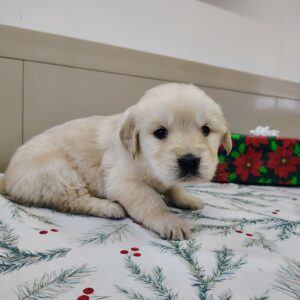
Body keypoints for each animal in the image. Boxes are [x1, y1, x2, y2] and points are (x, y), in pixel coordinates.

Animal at [1, 83, 231, 240]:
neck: (147, 162)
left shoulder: (164, 175)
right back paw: (110, 207)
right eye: (160, 132)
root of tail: (8, 176)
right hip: (57, 171)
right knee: (70, 200)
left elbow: (173, 187)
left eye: (206, 130)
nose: (190, 161)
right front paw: (170, 221)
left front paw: (186, 198)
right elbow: (152, 202)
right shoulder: (125, 183)